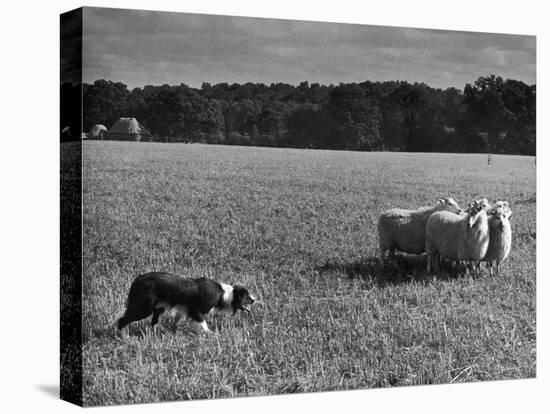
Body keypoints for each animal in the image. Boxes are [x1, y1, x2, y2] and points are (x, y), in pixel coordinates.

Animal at [117, 274, 258, 334]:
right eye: (246, 296)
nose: (255, 299)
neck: (223, 294)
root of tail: (136, 280)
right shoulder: (195, 310)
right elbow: (203, 323)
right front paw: (211, 334)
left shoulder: (184, 309)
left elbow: (178, 319)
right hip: (144, 308)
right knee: (122, 320)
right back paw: (124, 337)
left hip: (158, 307)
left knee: (154, 322)